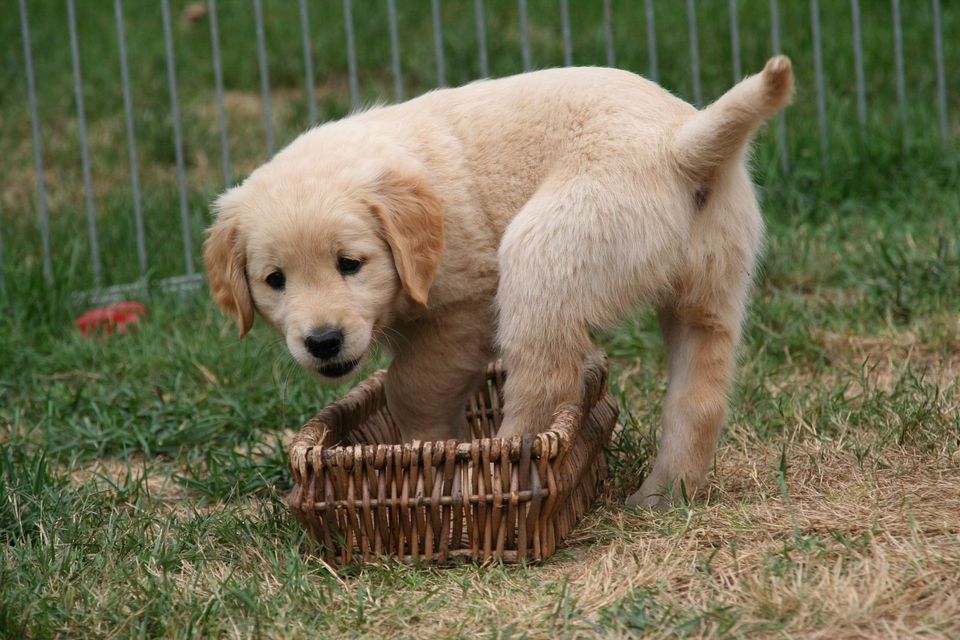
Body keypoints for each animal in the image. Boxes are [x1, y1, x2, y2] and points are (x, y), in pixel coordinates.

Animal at [204, 57, 796, 508]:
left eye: (351, 263)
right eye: (274, 280)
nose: (323, 342)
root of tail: (677, 147)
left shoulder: (464, 307)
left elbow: (411, 384)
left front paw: (427, 449)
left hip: (542, 254)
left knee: (542, 383)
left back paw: (489, 475)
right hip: (709, 290)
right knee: (699, 400)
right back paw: (663, 495)